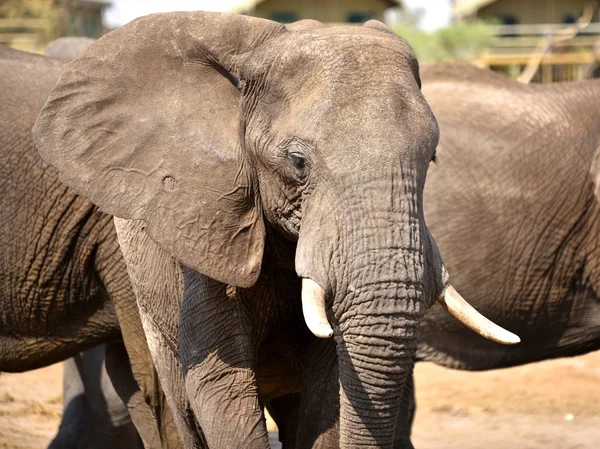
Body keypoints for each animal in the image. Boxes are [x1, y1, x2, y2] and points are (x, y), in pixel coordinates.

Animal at [32, 11, 516, 448]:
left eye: (431, 158)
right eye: (298, 162)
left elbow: (328, 387)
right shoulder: (208, 222)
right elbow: (219, 382)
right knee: (179, 408)